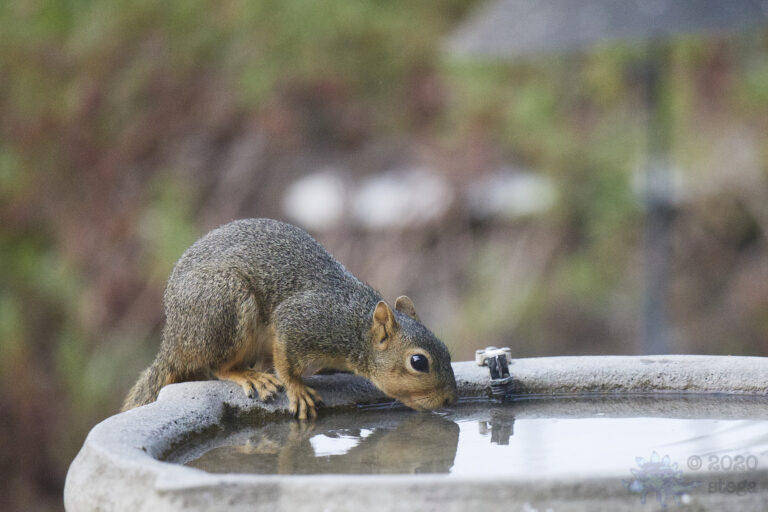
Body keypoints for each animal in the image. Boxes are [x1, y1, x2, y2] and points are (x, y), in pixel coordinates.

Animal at [122, 218, 457, 419]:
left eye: (447, 351)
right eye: (418, 362)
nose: (450, 400)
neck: (355, 327)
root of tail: (173, 339)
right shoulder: (303, 321)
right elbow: (285, 360)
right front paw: (297, 389)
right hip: (223, 306)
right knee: (218, 366)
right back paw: (250, 377)